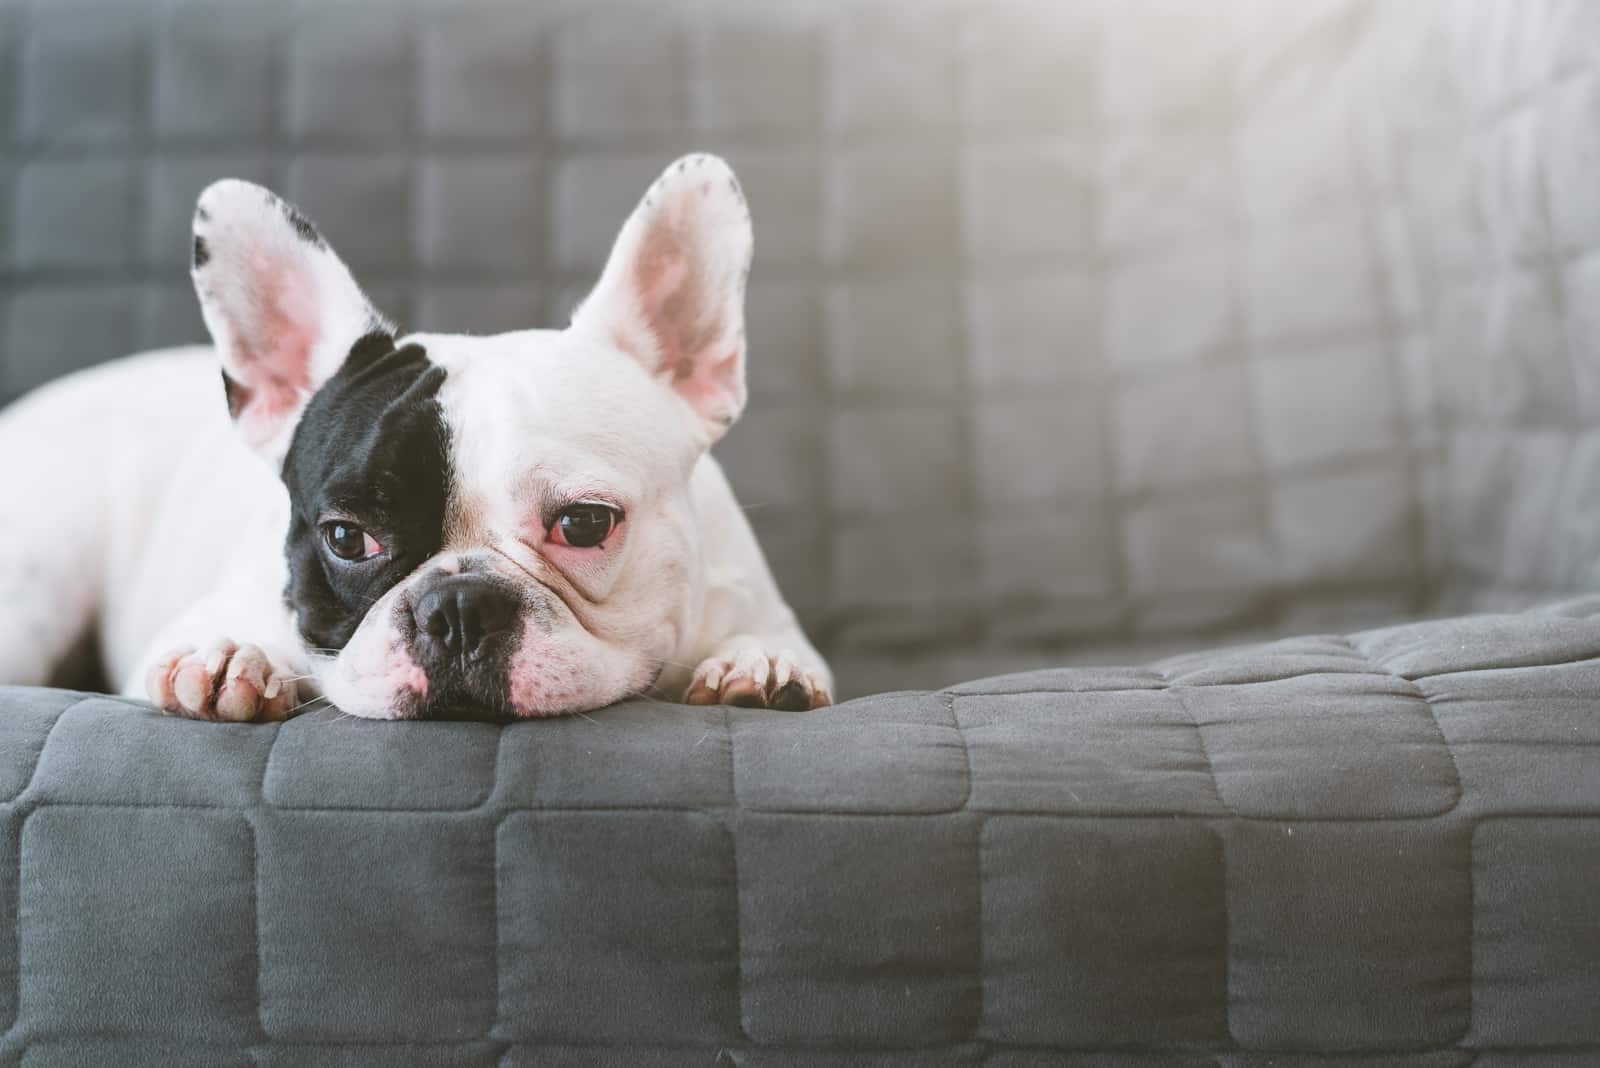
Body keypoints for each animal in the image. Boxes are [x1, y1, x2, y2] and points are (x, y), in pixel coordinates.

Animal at [0, 154, 832, 722]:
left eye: (584, 524)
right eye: (346, 538)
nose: (459, 608)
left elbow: (771, 644)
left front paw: (758, 664)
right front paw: (233, 655)